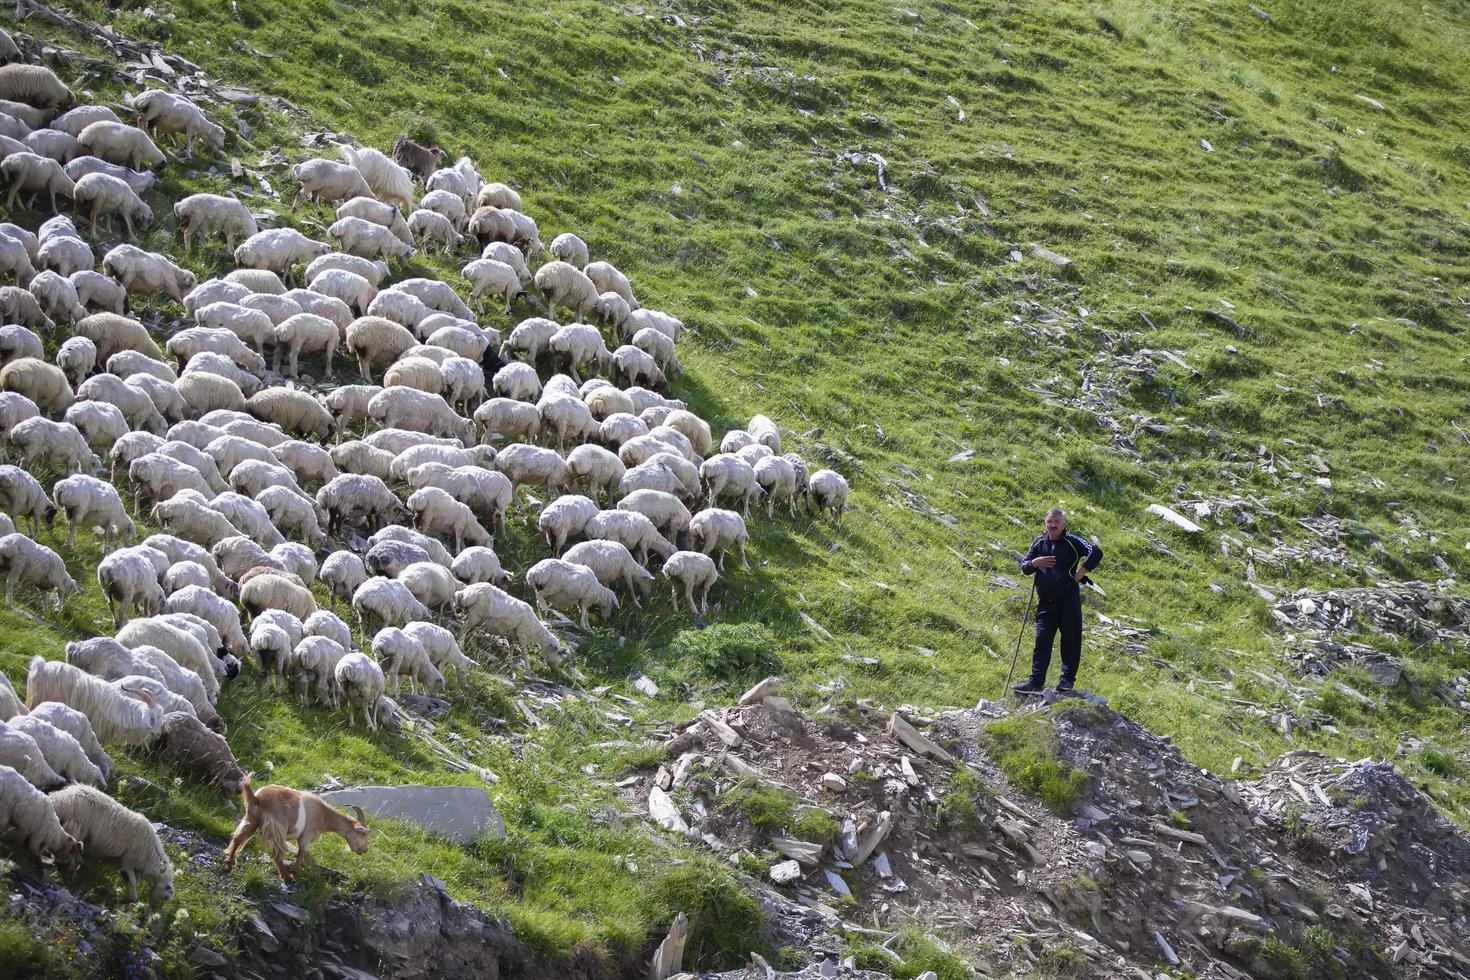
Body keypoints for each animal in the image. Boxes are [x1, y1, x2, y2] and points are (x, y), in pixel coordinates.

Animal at [226, 775, 373, 887]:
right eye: (363, 833)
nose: (365, 850)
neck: (323, 815)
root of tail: (257, 799)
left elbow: (306, 855)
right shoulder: (306, 835)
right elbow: (301, 853)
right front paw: (295, 873)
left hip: (251, 820)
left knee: (238, 838)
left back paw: (228, 865)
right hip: (277, 828)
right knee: (277, 854)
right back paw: (286, 878)